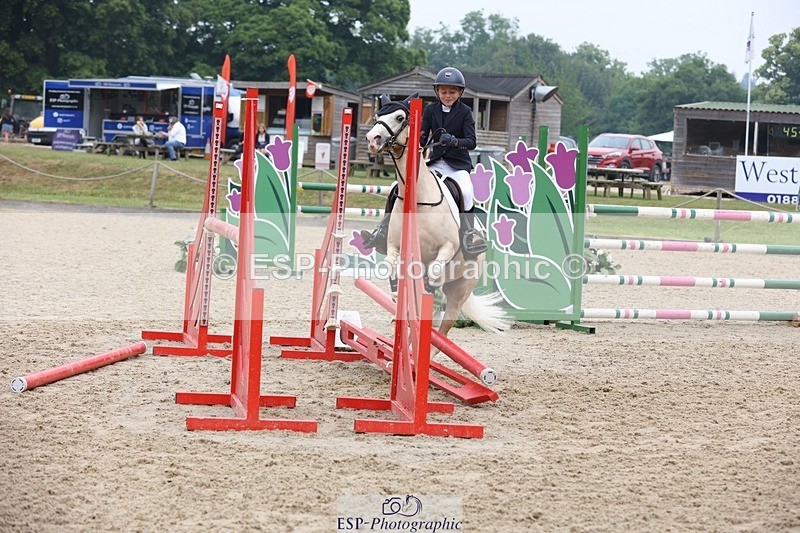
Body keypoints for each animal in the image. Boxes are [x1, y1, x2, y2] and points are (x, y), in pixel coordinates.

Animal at [365, 94, 510, 338]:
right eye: (377, 116)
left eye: (400, 117)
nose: (372, 139)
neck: (420, 199)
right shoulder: (395, 246)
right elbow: (391, 265)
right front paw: (395, 292)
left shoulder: (447, 248)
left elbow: (433, 271)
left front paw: (428, 288)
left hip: (461, 289)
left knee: (444, 324)